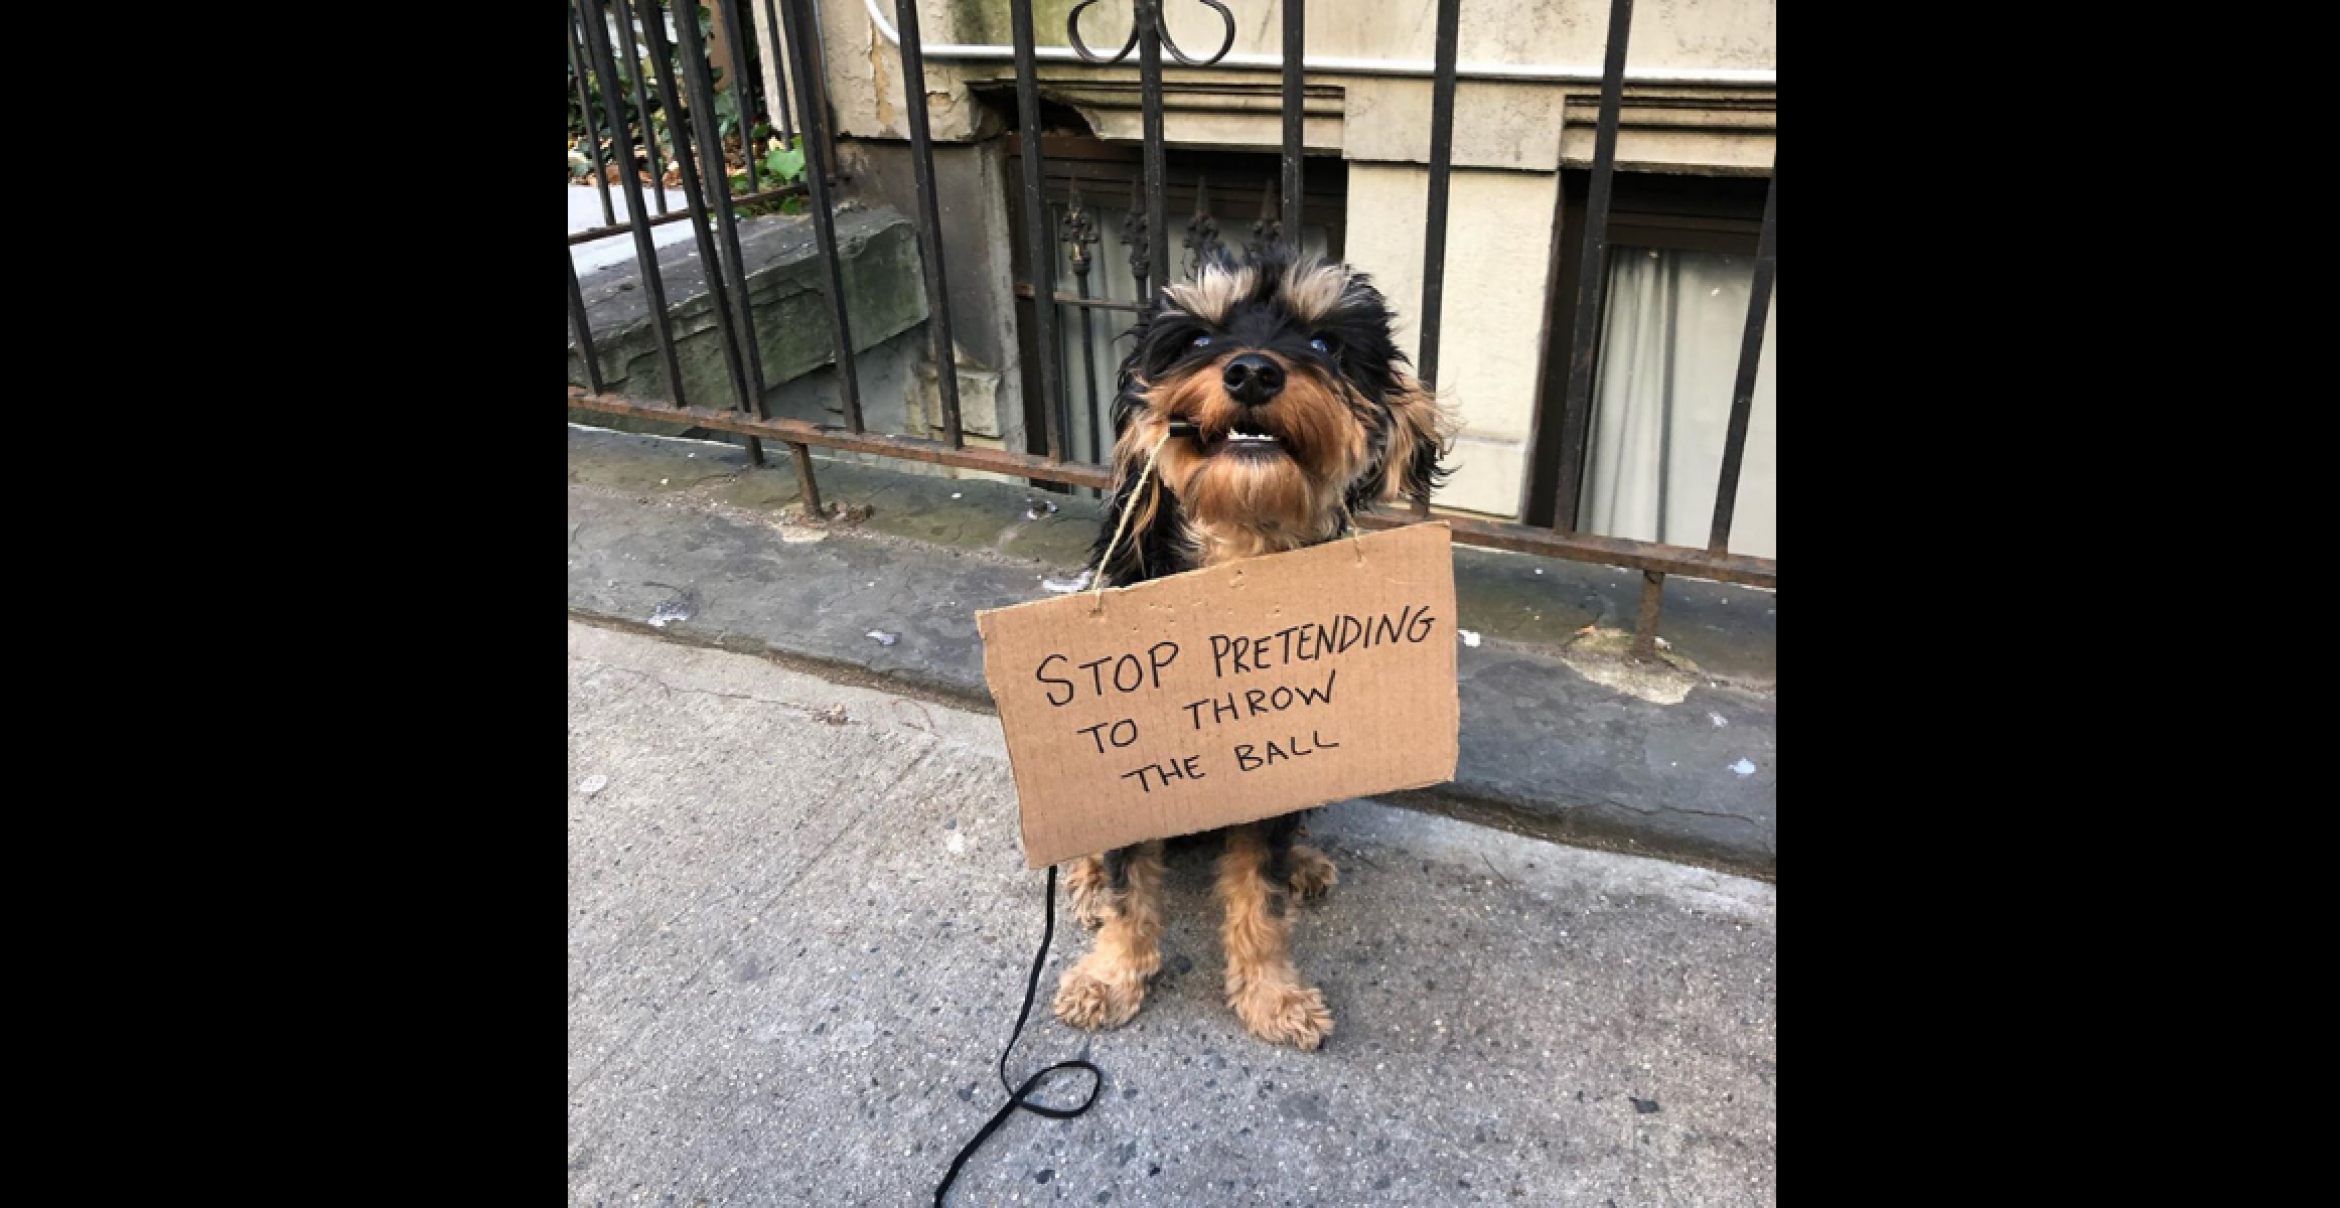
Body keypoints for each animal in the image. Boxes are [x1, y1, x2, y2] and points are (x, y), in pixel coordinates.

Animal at [1057, 243, 1450, 1048]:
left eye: (1326, 343)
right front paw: (1110, 975)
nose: (1252, 372)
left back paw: (1302, 862)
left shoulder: (1270, 770)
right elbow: (1130, 889)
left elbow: (1257, 897)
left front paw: (1271, 993)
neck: (1237, 555)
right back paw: (1084, 876)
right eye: (1201, 338)